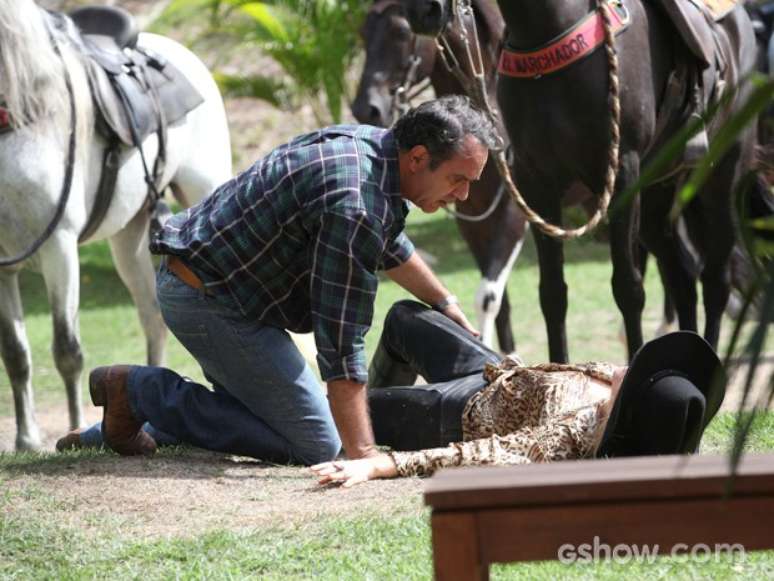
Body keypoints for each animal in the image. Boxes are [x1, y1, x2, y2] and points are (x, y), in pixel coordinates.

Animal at [0, 0, 232, 448]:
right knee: (153, 318)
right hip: (128, 240)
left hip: (205, 193)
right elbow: (16, 355)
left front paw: (71, 428)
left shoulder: (59, 249)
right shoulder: (3, 269)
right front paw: (26, 439)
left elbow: (67, 351)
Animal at [406, 0, 756, 360]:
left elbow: (628, 289)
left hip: (721, 178)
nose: (426, 11)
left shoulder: (621, 175)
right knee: (683, 278)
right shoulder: (534, 184)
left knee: (715, 280)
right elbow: (552, 294)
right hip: (656, 195)